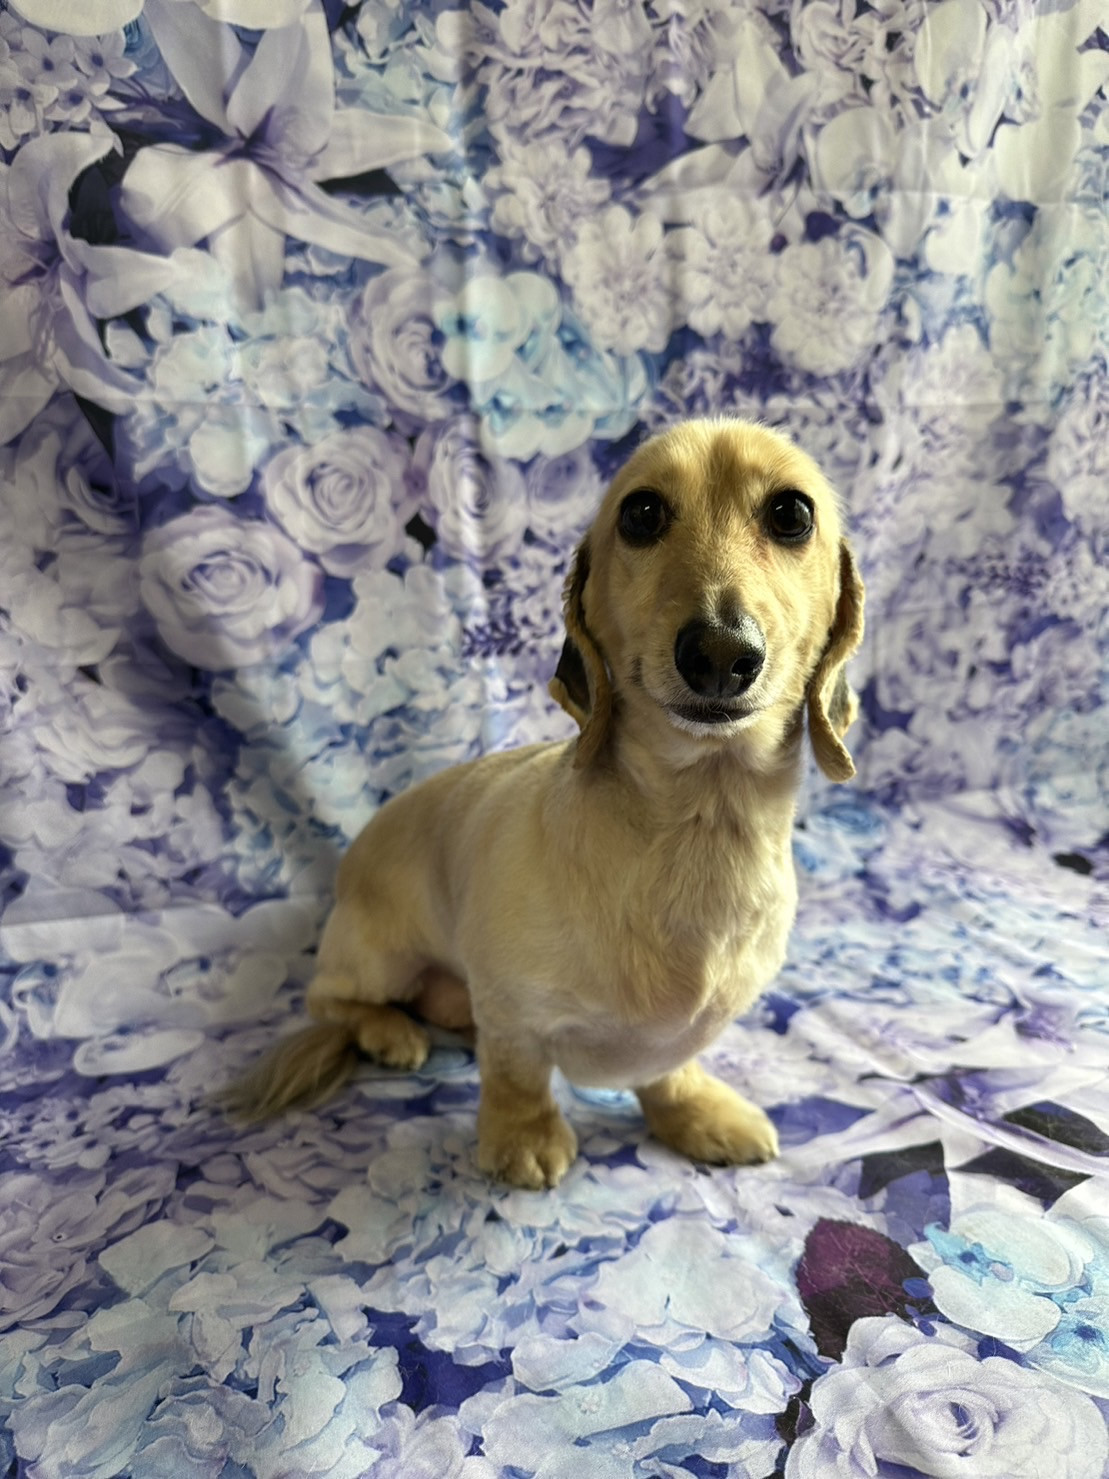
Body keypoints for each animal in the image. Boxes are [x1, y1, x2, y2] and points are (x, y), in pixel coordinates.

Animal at [223, 418, 864, 1189]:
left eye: (791, 514)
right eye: (641, 513)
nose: (717, 652)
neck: (699, 825)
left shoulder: (680, 1033)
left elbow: (669, 1067)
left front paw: (693, 1112)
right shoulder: (512, 1013)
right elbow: (516, 1071)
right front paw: (522, 1135)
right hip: (375, 955)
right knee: (331, 999)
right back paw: (389, 1031)